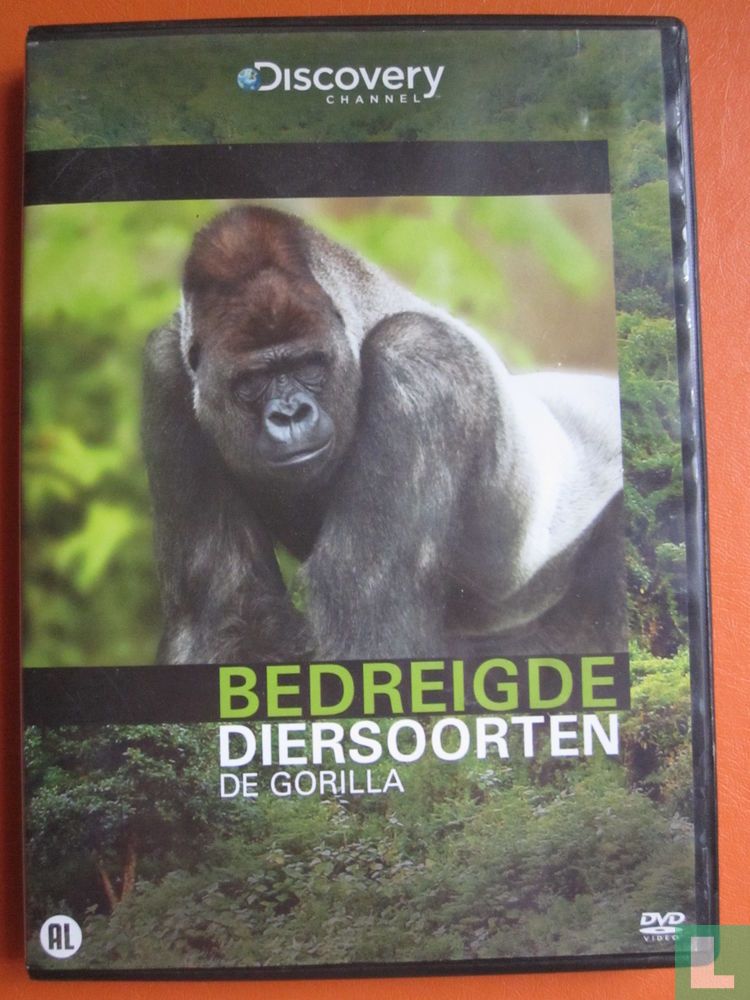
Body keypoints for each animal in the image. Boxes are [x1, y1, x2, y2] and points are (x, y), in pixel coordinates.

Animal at [142, 204, 626, 664]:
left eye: (309, 366)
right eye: (252, 381)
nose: (290, 414)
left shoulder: (416, 361)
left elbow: (365, 612)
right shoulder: (167, 367)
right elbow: (222, 615)